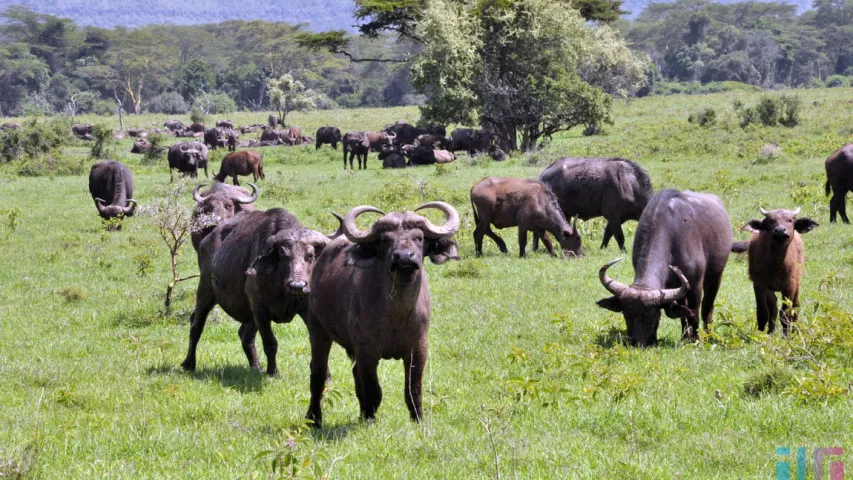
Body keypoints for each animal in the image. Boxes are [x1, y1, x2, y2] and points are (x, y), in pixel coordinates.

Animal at [181, 208, 338, 376]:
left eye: (310, 255)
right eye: (283, 255)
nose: (297, 286)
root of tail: (205, 241)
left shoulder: (308, 310)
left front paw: (326, 376)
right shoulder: (260, 310)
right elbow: (270, 343)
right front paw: (273, 372)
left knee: (245, 336)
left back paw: (256, 367)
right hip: (205, 291)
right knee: (196, 325)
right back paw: (189, 363)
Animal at [304, 201, 460, 426]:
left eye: (419, 237)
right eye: (386, 240)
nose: (404, 257)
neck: (397, 314)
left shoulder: (418, 349)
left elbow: (413, 390)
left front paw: (417, 419)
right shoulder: (367, 351)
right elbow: (373, 389)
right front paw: (370, 418)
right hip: (318, 331)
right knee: (318, 373)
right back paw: (314, 418)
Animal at [596, 189, 728, 346]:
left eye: (649, 317)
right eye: (626, 315)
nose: (635, 343)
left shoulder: (695, 285)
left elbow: (694, 312)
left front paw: (695, 340)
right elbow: (683, 313)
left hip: (716, 276)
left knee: (707, 308)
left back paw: (707, 335)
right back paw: (684, 336)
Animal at [736, 208, 816, 336]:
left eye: (790, 220)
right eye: (771, 220)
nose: (780, 230)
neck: (776, 265)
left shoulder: (790, 286)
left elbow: (785, 313)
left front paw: (786, 335)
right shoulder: (760, 285)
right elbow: (763, 312)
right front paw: (761, 333)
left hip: (797, 284)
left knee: (795, 305)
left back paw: (794, 331)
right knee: (773, 307)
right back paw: (771, 331)